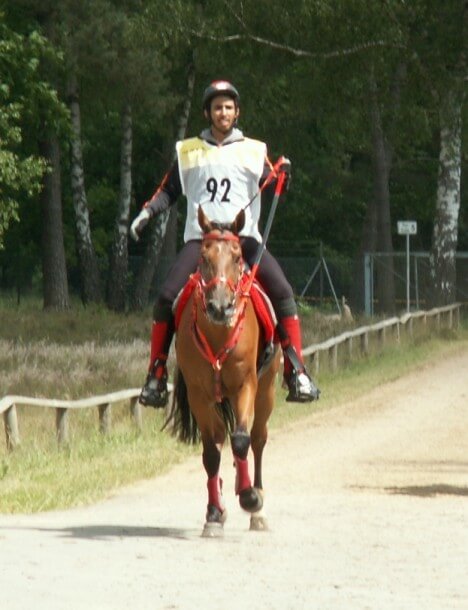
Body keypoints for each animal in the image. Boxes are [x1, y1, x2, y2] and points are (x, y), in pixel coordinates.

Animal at [172, 205, 282, 536]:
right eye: (203, 257)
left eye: (236, 257)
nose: (220, 307)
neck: (219, 333)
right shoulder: (198, 395)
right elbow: (211, 452)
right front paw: (212, 514)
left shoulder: (246, 386)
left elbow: (242, 440)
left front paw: (249, 497)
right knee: (222, 438)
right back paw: (220, 503)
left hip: (266, 391)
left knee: (256, 439)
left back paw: (257, 504)